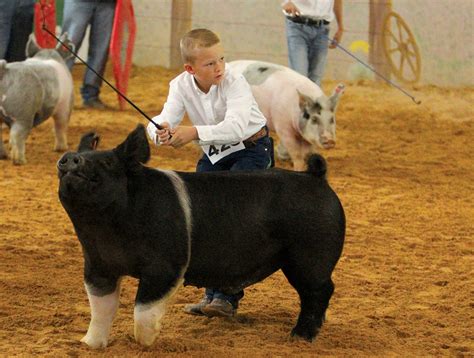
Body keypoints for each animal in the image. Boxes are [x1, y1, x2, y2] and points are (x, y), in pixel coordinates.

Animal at [0, 33, 74, 165]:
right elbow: (60, 126)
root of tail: (3, 70)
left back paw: (4, 156)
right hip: (23, 114)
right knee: (17, 136)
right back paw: (20, 161)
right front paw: (61, 149)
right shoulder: (65, 105)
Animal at [57, 124, 344, 348]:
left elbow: (143, 310)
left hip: (310, 257)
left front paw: (145, 342)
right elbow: (101, 309)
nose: (70, 158)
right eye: (76, 157)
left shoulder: (165, 267)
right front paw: (87, 344)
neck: (106, 227)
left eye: (107, 162)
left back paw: (299, 337)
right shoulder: (97, 267)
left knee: (319, 292)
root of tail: (316, 176)